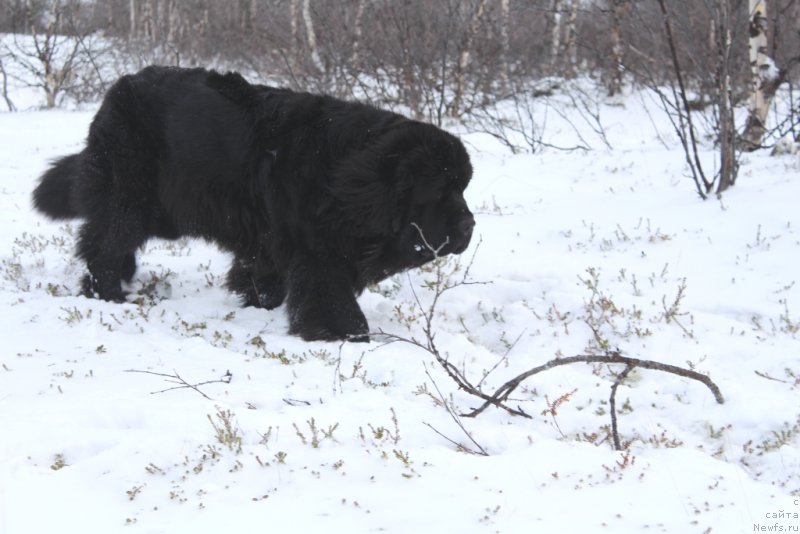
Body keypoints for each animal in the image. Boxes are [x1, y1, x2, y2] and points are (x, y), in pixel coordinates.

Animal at [32, 67, 476, 342]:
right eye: (440, 190)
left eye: (464, 186)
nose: (469, 225)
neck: (343, 177)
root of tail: (119, 87)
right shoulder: (319, 253)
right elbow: (331, 296)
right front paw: (344, 333)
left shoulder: (271, 239)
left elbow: (261, 276)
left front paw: (260, 304)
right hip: (131, 194)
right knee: (106, 240)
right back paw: (108, 292)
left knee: (105, 235)